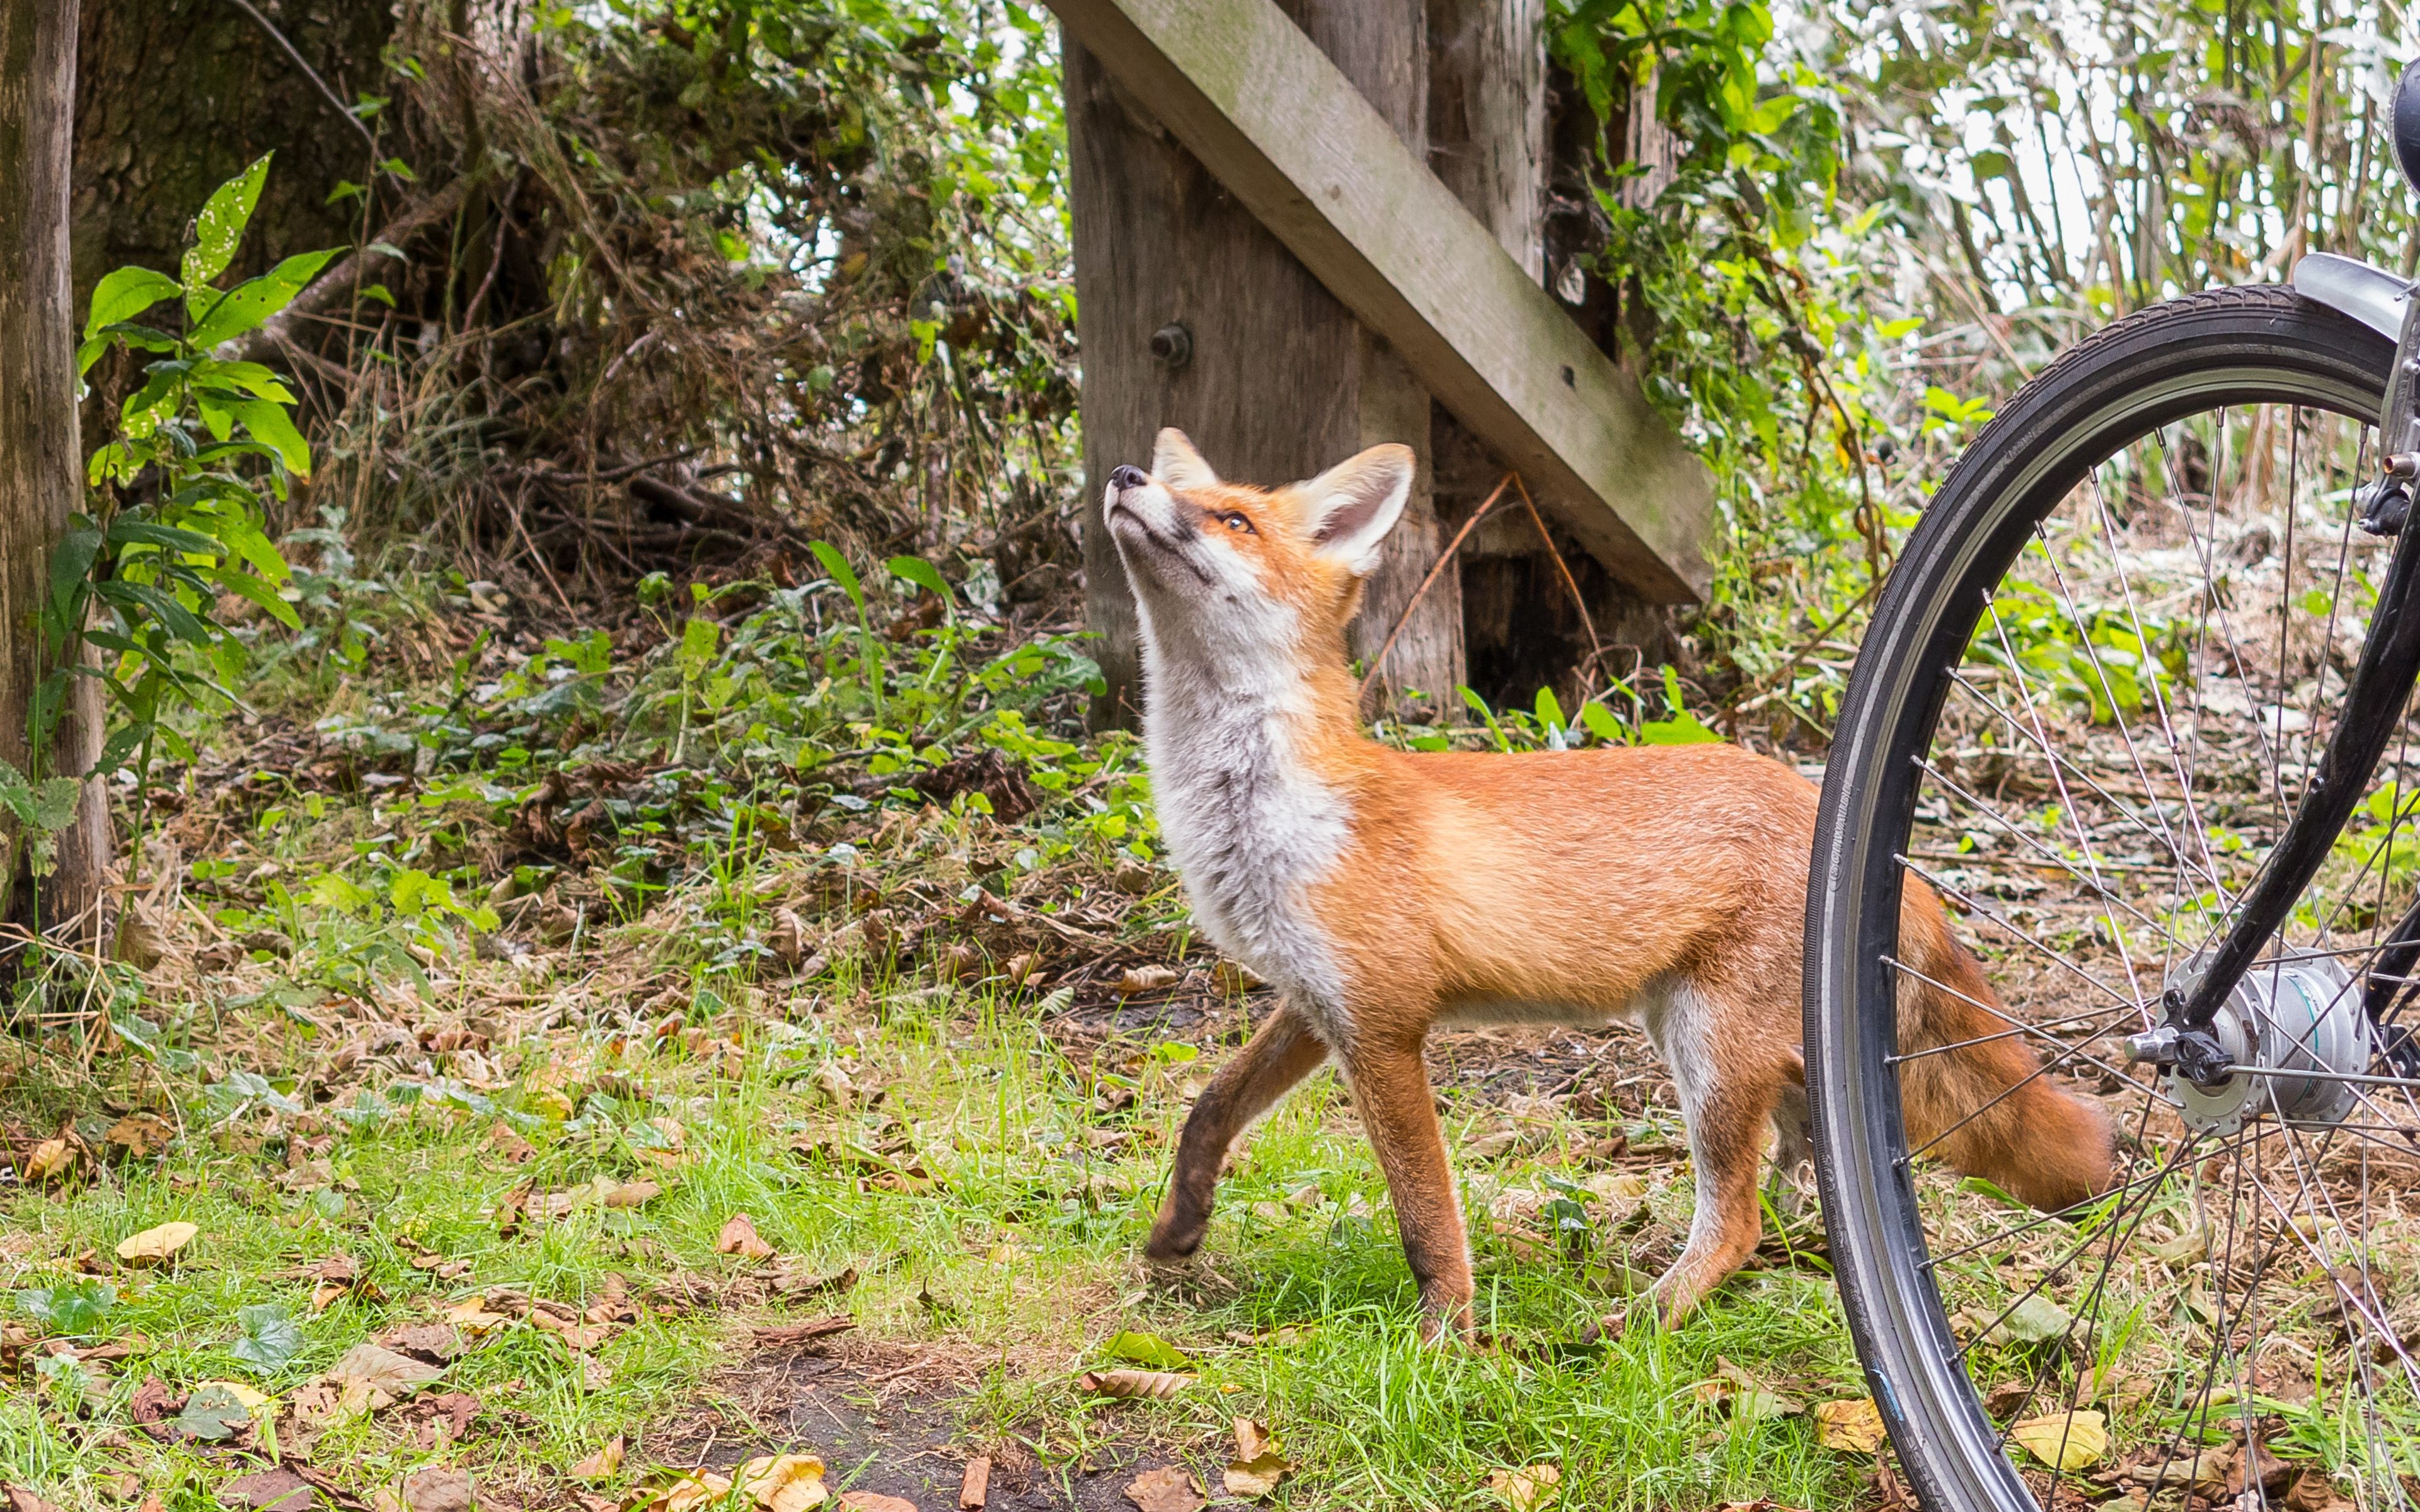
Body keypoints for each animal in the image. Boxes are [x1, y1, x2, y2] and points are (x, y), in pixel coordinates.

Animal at [1103, 429, 2117, 1339]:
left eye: (1233, 520)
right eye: (1180, 488)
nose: (1122, 473)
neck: (1270, 815)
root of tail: (1861, 840)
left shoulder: (1384, 1025)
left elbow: (1427, 1219)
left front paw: (1442, 1345)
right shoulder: (1319, 1005)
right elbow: (1210, 1109)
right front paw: (1177, 1229)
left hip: (1710, 1050)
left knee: (1735, 1220)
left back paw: (1639, 1325)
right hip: (1716, 1039)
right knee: (1792, 1161)